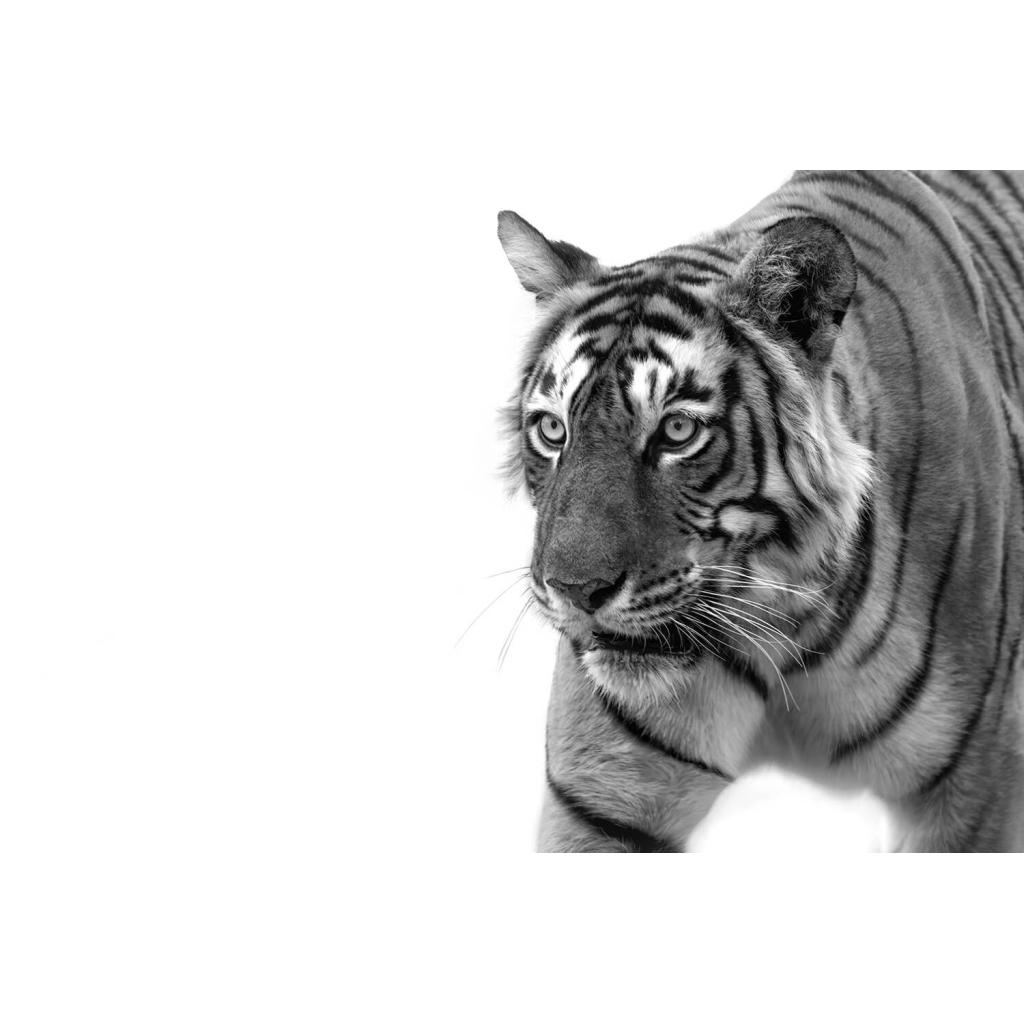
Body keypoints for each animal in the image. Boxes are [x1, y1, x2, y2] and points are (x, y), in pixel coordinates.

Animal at [496, 170, 1024, 853]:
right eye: (552, 430)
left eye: (677, 431)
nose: (574, 591)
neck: (781, 622)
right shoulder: (599, 799)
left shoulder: (976, 783)